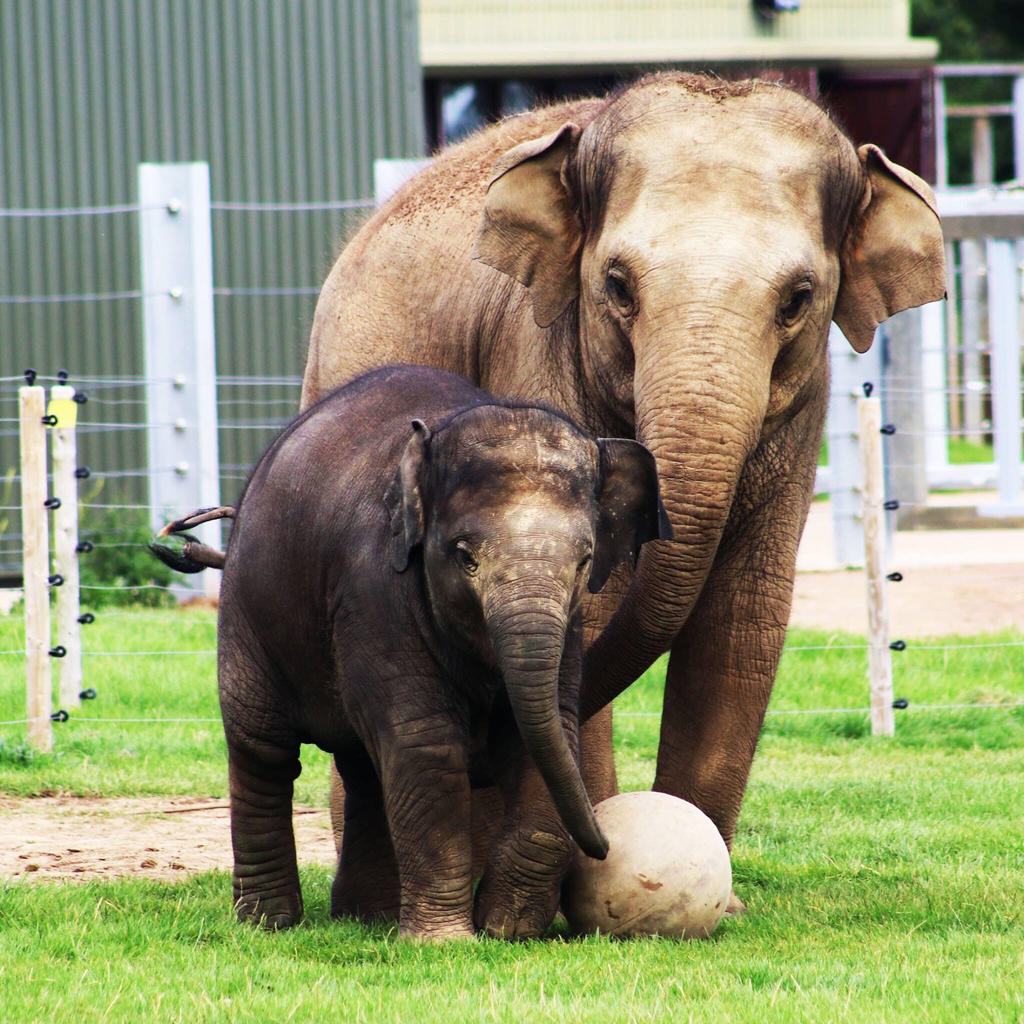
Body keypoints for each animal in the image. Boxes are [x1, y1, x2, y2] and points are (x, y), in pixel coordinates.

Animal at [208, 364, 670, 940]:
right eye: (465, 556)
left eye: (585, 561)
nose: (607, 849)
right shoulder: (372, 586)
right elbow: (424, 741)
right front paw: (446, 942)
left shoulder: (571, 626)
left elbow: (547, 732)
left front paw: (508, 930)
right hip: (246, 611)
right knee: (264, 751)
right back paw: (268, 923)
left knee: (363, 768)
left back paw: (369, 918)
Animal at [301, 72, 946, 936]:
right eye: (615, 285)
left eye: (799, 298)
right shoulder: (536, 357)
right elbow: (594, 616)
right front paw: (573, 895)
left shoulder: (797, 422)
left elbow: (739, 623)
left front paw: (719, 899)